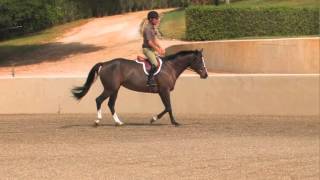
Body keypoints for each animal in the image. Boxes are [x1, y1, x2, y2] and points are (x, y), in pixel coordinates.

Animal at [71, 48, 209, 126]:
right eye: (200, 60)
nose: (205, 75)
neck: (170, 67)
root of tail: (104, 64)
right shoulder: (164, 90)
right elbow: (168, 107)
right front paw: (167, 121)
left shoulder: (162, 91)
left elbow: (167, 107)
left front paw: (158, 119)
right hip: (110, 89)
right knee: (99, 100)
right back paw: (97, 121)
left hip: (115, 89)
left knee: (111, 104)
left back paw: (118, 122)